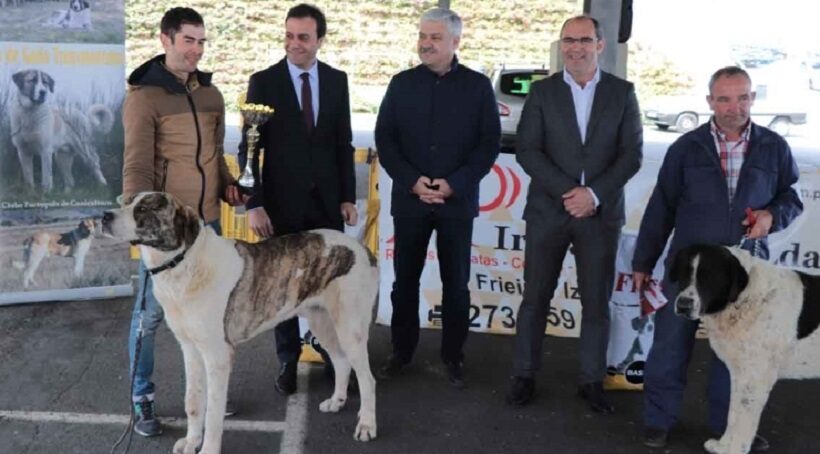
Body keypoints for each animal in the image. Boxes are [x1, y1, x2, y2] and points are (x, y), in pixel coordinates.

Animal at [102, 192, 382, 454]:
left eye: (143, 209)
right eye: (126, 202)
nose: (104, 216)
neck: (183, 263)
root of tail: (363, 249)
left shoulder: (218, 356)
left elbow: (214, 413)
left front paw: (208, 449)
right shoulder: (190, 349)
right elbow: (193, 402)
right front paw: (192, 441)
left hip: (350, 329)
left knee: (367, 379)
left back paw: (367, 425)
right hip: (322, 322)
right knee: (342, 362)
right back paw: (337, 401)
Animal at [668, 245, 816, 454]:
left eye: (710, 276)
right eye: (684, 273)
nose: (683, 305)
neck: (743, 298)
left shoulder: (755, 379)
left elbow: (745, 419)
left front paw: (735, 449)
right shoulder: (740, 373)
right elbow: (733, 413)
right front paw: (723, 445)